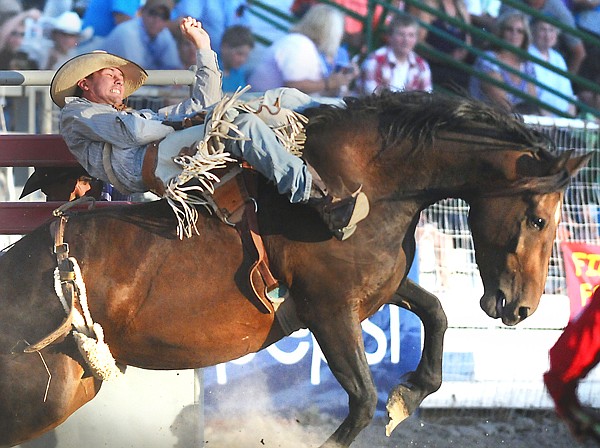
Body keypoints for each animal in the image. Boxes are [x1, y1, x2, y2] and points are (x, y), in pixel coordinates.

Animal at [0, 89, 592, 446]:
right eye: (539, 219)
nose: (522, 307)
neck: (371, 183)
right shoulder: (329, 311)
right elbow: (361, 399)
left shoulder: (377, 291)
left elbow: (436, 313)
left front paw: (409, 395)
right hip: (40, 395)